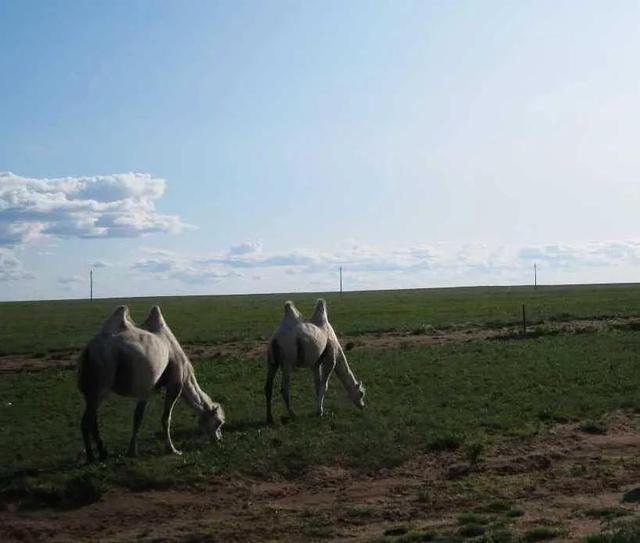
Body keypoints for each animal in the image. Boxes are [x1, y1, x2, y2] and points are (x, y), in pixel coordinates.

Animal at [78, 304, 225, 462]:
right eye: (218, 422)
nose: (219, 440)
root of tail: (88, 350)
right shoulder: (174, 384)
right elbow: (165, 418)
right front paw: (172, 449)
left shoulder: (148, 389)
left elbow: (138, 417)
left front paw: (132, 451)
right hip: (103, 384)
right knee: (86, 421)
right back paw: (91, 457)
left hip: (90, 391)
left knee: (92, 420)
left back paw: (103, 453)